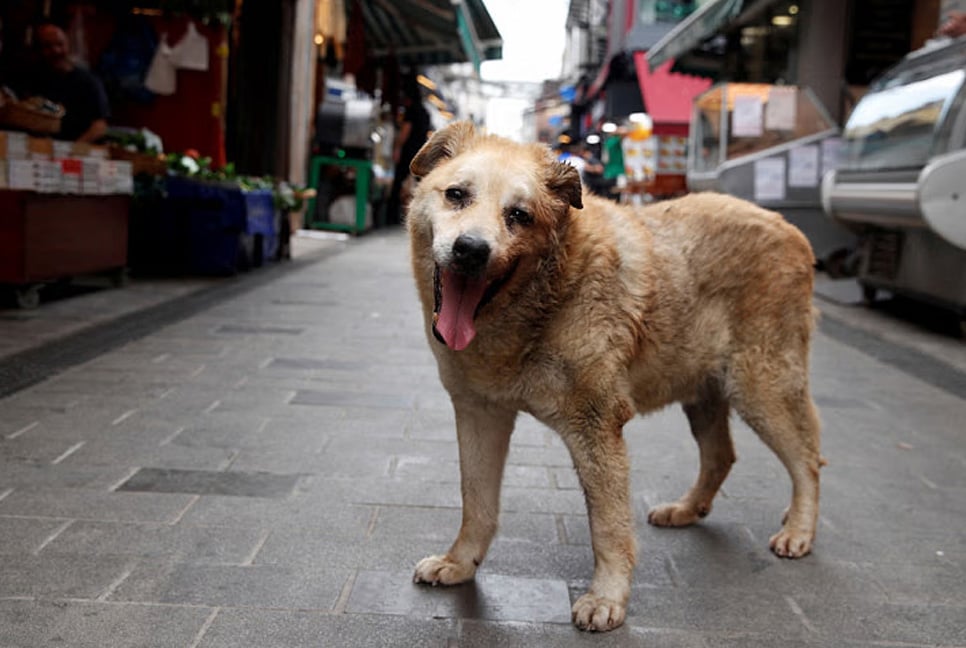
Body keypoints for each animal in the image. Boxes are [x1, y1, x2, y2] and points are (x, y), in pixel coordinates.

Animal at [406, 123, 824, 632]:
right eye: (456, 195)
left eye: (519, 215)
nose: (471, 250)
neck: (549, 294)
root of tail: (790, 228)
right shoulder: (480, 414)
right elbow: (477, 501)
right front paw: (460, 563)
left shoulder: (597, 426)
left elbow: (607, 526)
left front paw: (608, 598)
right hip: (704, 392)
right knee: (722, 455)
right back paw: (687, 510)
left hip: (762, 389)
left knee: (807, 460)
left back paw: (799, 530)